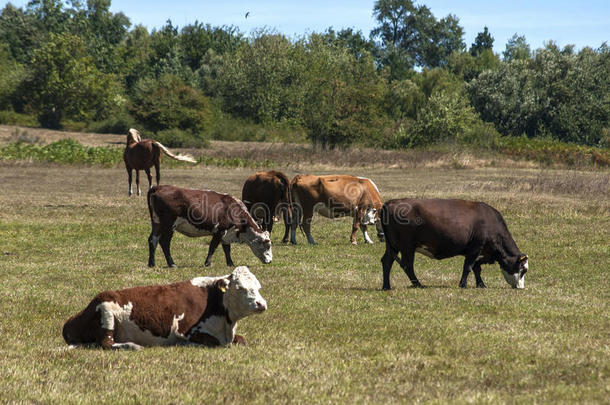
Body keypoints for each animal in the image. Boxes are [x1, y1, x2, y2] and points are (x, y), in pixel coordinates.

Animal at [62, 266, 268, 348]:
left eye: (258, 287)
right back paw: (132, 346)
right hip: (106, 307)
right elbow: (215, 342)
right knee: (106, 343)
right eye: (240, 288)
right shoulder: (186, 331)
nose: (261, 304)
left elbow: (241, 340)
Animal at [380, 197, 528, 288]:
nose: (520, 288)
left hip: (392, 246)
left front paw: (481, 284)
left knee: (387, 261)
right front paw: (463, 284)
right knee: (407, 265)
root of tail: (390, 203)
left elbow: (476, 268)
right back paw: (418, 284)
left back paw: (386, 286)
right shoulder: (475, 249)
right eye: (522, 269)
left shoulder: (480, 252)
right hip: (407, 247)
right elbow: (468, 267)